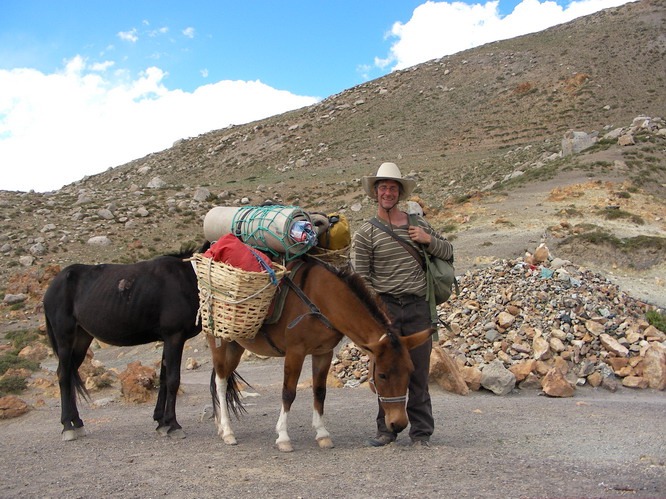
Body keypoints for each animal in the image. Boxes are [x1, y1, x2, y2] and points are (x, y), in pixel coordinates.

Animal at [43, 243, 208, 441]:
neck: (188, 277)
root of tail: (53, 285)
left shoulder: (167, 339)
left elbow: (163, 379)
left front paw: (162, 423)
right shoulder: (174, 337)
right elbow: (173, 379)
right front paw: (174, 425)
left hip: (82, 338)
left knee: (70, 372)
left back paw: (77, 422)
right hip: (64, 338)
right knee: (63, 375)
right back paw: (68, 426)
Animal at [207, 256, 434, 452]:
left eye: (410, 371)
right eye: (382, 375)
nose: (399, 424)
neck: (322, 299)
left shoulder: (324, 353)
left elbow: (320, 392)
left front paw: (322, 434)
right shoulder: (295, 352)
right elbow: (288, 393)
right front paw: (283, 437)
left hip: (236, 344)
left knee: (223, 379)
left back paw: (220, 426)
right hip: (218, 341)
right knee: (220, 381)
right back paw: (228, 431)